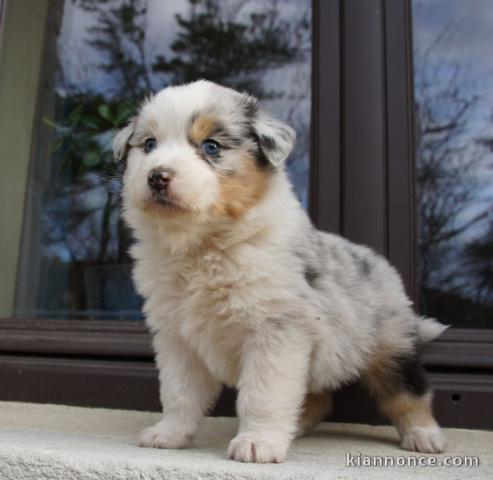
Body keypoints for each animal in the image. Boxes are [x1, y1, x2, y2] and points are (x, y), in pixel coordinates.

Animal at [114, 80, 446, 464]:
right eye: (149, 145)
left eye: (211, 146)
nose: (157, 176)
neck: (204, 247)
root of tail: (380, 263)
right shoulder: (176, 338)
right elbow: (178, 393)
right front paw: (169, 434)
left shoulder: (275, 332)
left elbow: (262, 393)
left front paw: (257, 443)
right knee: (318, 396)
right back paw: (296, 427)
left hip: (390, 344)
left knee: (409, 391)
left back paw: (425, 436)